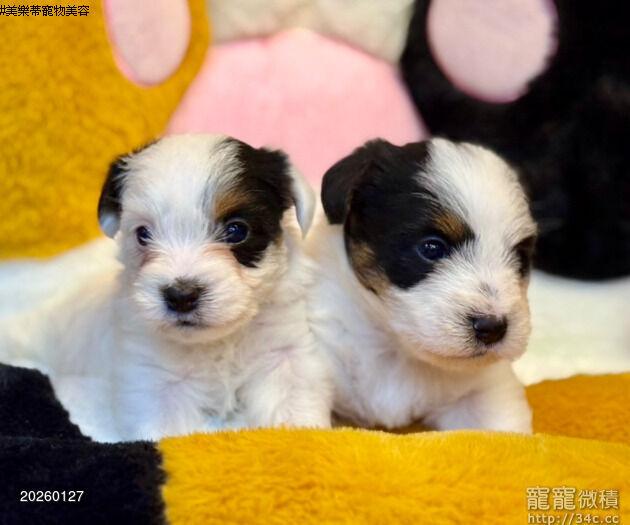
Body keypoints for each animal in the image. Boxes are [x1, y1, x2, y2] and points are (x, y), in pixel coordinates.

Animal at [0, 134, 332, 440]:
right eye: (143, 234)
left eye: (237, 230)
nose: (181, 296)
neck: (218, 341)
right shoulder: (156, 380)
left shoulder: (283, 356)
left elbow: (291, 407)